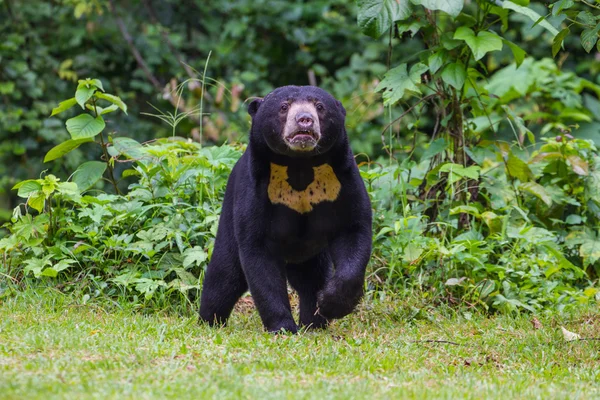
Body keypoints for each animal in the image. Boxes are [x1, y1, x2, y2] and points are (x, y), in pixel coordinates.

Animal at [199, 86, 372, 332]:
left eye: (319, 106)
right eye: (284, 106)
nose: (305, 120)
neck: (299, 164)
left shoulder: (342, 180)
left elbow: (353, 230)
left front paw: (331, 304)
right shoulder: (256, 188)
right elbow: (258, 254)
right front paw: (282, 327)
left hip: (311, 253)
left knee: (311, 279)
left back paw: (314, 323)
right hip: (228, 215)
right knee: (224, 276)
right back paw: (209, 321)